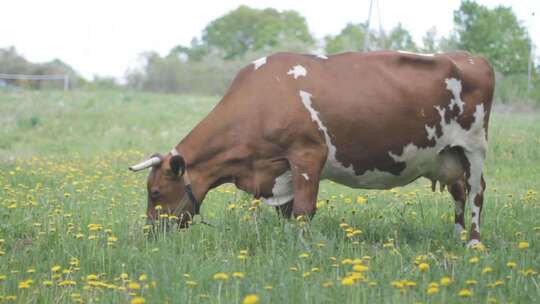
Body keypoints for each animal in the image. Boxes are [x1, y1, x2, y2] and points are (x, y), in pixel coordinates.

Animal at [130, 50, 494, 247]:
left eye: (155, 192)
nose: (150, 233)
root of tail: (469, 57)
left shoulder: (307, 155)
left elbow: (304, 210)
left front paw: (301, 250)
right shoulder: (279, 172)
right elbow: (286, 211)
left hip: (474, 147)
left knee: (476, 193)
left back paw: (474, 243)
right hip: (447, 155)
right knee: (458, 191)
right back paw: (457, 235)